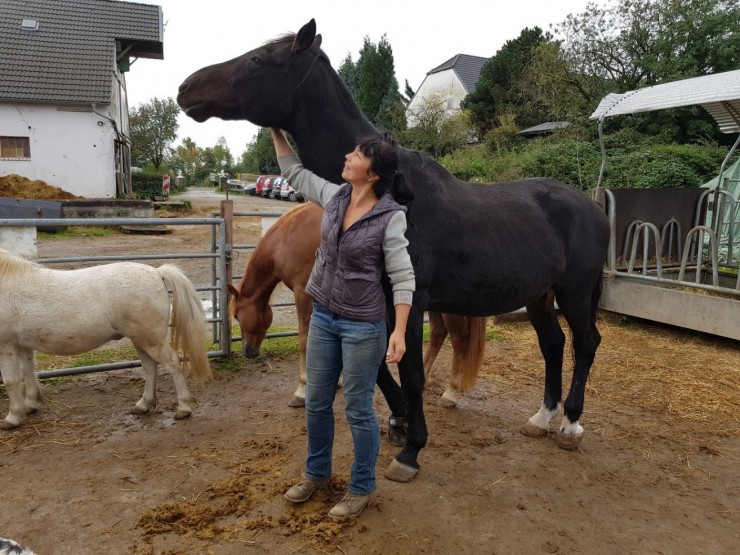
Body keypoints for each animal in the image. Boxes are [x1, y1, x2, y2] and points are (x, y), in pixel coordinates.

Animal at [0, 249, 211, 430]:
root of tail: (156, 272)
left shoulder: (6, 347)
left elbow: (11, 380)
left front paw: (12, 417)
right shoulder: (22, 345)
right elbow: (28, 374)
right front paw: (30, 405)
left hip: (151, 340)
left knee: (173, 363)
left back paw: (184, 408)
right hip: (140, 339)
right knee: (151, 368)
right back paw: (144, 404)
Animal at [228, 203, 488, 408]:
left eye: (237, 316)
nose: (248, 352)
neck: (286, 238)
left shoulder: (303, 294)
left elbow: (304, 341)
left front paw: (302, 390)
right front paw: (338, 380)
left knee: (459, 340)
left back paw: (451, 393)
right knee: (437, 333)